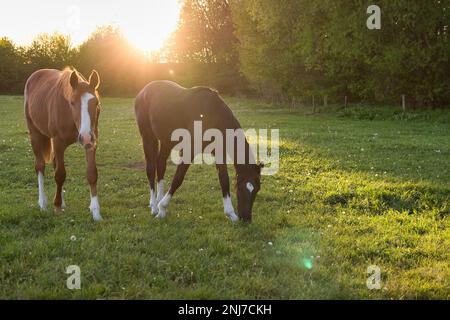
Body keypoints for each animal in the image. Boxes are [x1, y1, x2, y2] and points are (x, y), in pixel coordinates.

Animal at [24, 68, 103, 220]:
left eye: (96, 103)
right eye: (72, 102)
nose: (85, 137)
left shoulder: (92, 142)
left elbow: (92, 174)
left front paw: (96, 212)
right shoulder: (58, 142)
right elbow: (60, 174)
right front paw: (57, 206)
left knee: (54, 164)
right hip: (35, 134)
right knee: (40, 166)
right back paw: (43, 203)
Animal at [135, 80, 262, 222]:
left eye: (257, 189)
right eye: (240, 187)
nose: (246, 219)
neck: (212, 114)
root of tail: (143, 91)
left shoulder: (219, 153)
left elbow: (224, 180)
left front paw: (231, 214)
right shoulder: (189, 150)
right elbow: (178, 178)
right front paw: (162, 208)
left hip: (166, 141)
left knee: (160, 165)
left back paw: (158, 201)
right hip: (148, 136)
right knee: (151, 168)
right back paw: (154, 206)